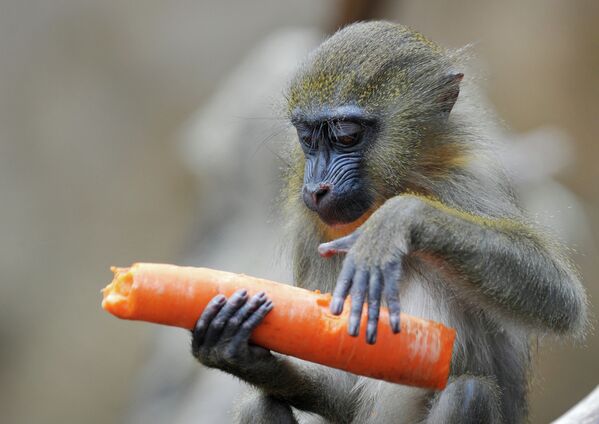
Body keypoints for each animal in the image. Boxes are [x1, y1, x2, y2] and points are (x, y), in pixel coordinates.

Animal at [190, 21, 588, 422]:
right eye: (307, 137)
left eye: (346, 135)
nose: (317, 189)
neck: (388, 187)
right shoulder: (309, 229)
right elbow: (336, 380)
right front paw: (234, 348)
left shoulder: (468, 181)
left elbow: (560, 296)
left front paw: (397, 221)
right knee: (258, 403)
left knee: (470, 391)